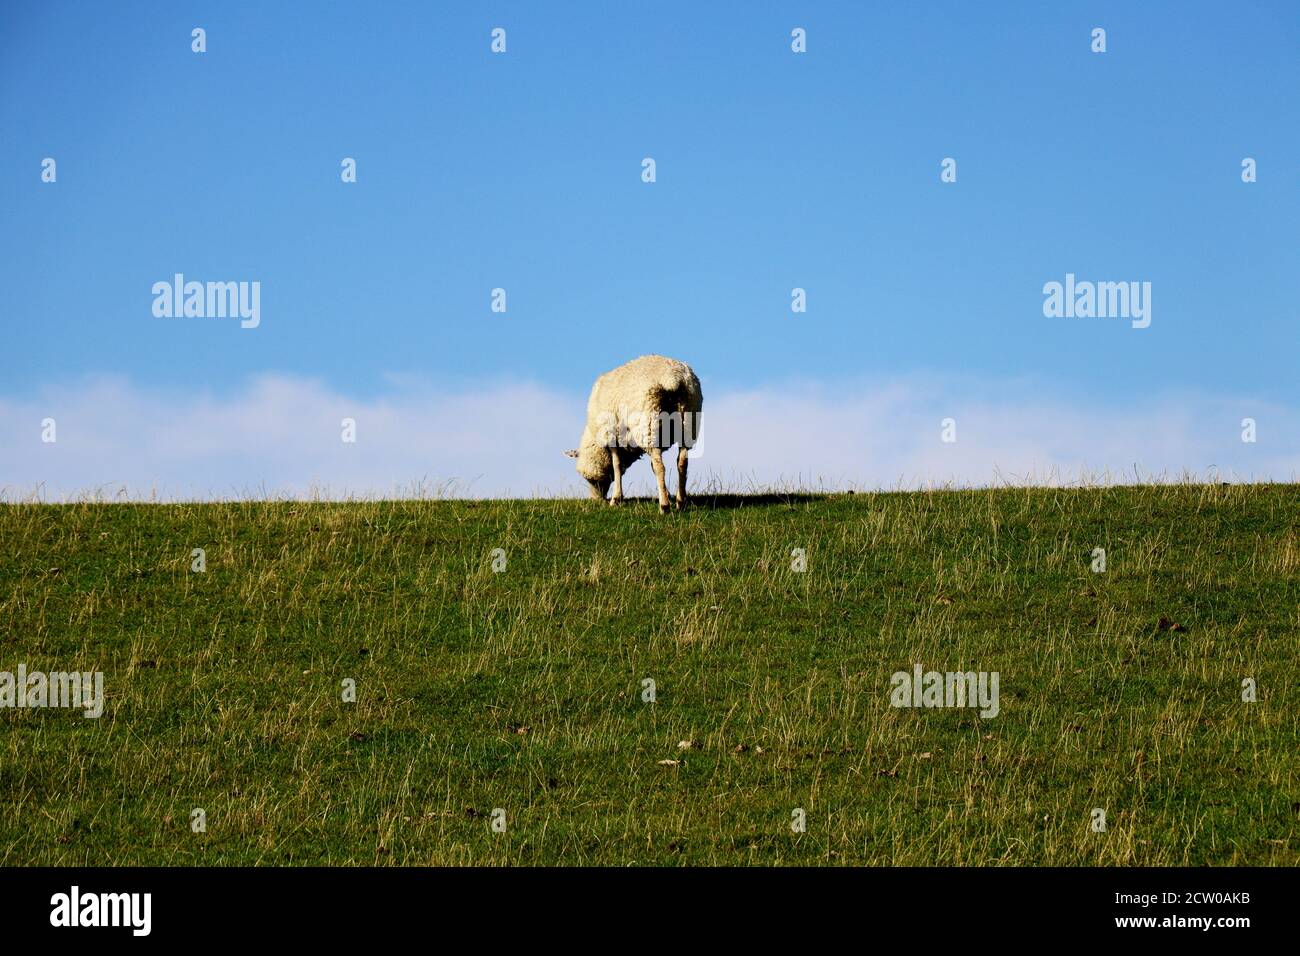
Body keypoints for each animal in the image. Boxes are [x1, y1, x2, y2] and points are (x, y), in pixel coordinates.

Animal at [564, 355, 702, 513]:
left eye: (590, 479)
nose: (596, 499)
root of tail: (674, 377)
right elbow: (650, 466)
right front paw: (667, 494)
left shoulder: (612, 435)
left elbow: (617, 466)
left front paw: (616, 499)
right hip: (689, 421)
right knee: (682, 463)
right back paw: (680, 501)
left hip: (649, 423)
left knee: (661, 467)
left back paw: (664, 507)